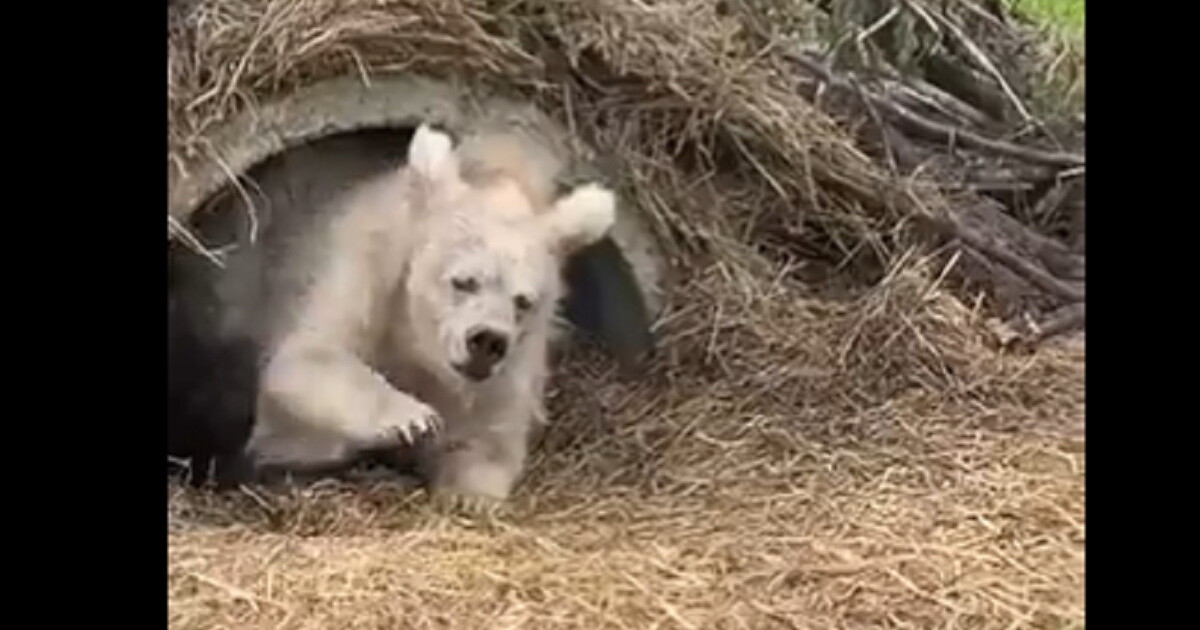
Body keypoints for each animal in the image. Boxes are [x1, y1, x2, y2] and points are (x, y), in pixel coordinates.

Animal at [235, 123, 618, 507]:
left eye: (523, 301)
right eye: (464, 281)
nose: (486, 341)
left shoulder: (511, 366)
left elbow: (488, 439)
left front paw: (467, 493)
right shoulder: (363, 271)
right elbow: (305, 358)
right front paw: (411, 420)